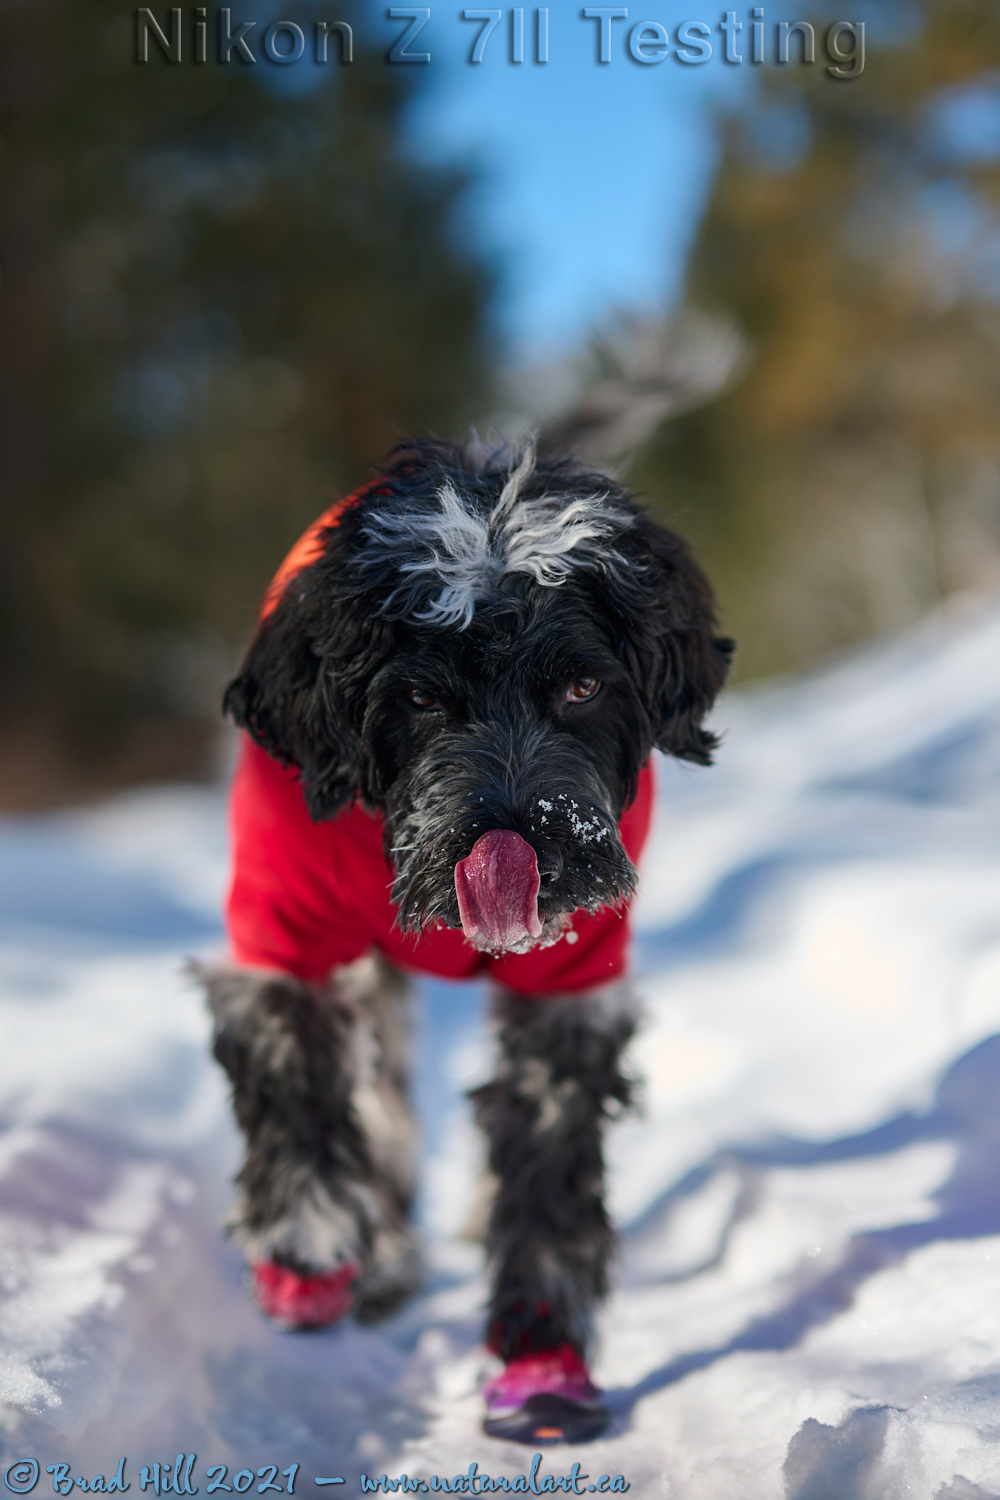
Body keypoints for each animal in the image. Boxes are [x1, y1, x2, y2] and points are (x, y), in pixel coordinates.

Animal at [200, 438, 734, 1440]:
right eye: (418, 695)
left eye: (581, 685)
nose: (516, 840)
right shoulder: (286, 941)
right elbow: (297, 1083)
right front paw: (306, 1235)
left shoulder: (571, 986)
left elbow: (549, 1169)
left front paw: (542, 1354)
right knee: (382, 1104)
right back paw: (375, 1258)